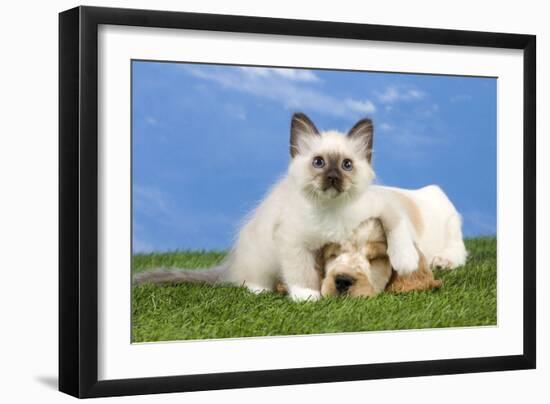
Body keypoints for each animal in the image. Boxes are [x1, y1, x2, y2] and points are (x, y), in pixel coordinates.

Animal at [134, 113, 418, 300]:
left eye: (346, 165)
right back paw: (259, 289)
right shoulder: (293, 242)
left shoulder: (382, 205)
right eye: (319, 162)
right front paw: (308, 296)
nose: (333, 178)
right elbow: (301, 272)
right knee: (245, 280)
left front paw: (406, 261)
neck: (331, 210)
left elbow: (398, 225)